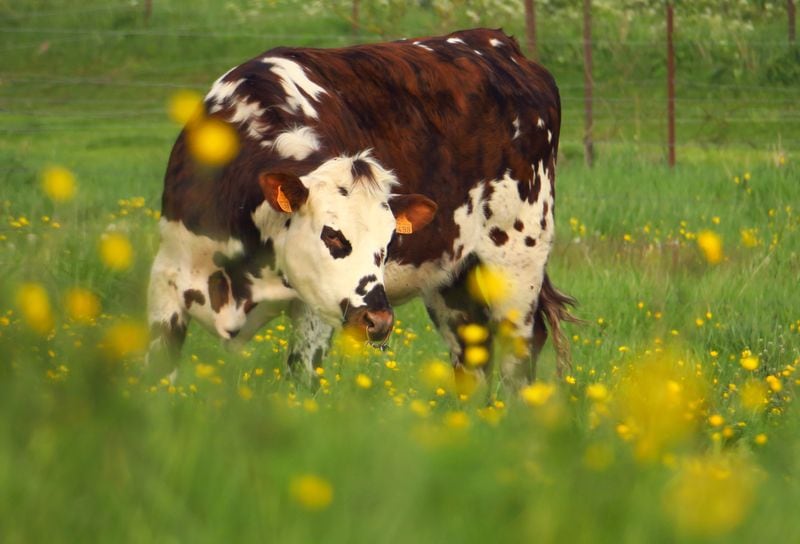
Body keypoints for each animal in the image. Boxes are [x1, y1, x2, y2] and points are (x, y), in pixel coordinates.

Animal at [148, 28, 576, 386]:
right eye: (332, 235)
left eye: (387, 245)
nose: (379, 319)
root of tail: (499, 45)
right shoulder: (167, 282)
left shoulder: (312, 312)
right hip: (453, 279)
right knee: (472, 354)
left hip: (518, 263)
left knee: (520, 354)